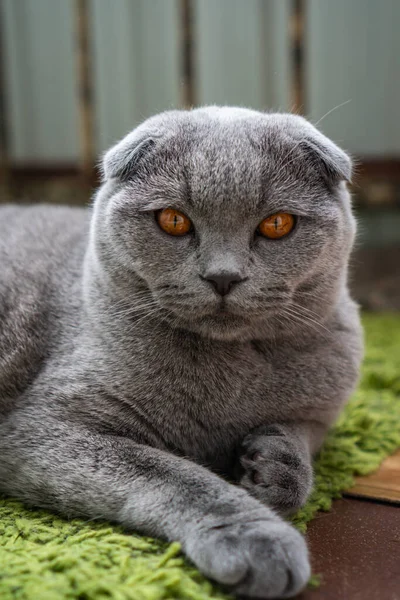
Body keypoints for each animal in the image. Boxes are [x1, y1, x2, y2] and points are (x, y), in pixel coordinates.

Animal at [0, 109, 362, 600]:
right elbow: (176, 475)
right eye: (173, 220)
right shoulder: (46, 428)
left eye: (277, 224)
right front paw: (257, 538)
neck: (233, 376)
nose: (224, 276)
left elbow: (304, 433)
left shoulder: (324, 405)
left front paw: (274, 465)